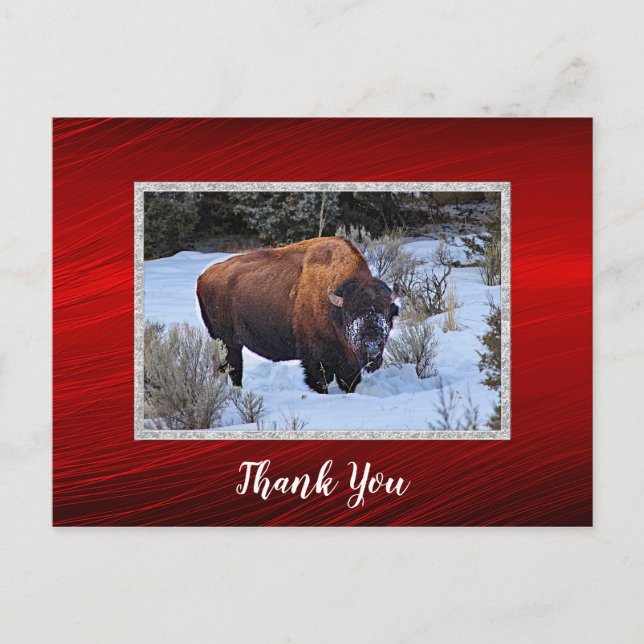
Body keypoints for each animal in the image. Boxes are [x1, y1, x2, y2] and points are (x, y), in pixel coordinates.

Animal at [196, 237, 399, 393]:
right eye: (350, 313)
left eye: (386, 312)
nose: (372, 347)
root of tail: (204, 277)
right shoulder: (314, 359)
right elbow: (320, 382)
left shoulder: (348, 364)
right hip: (227, 341)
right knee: (232, 368)